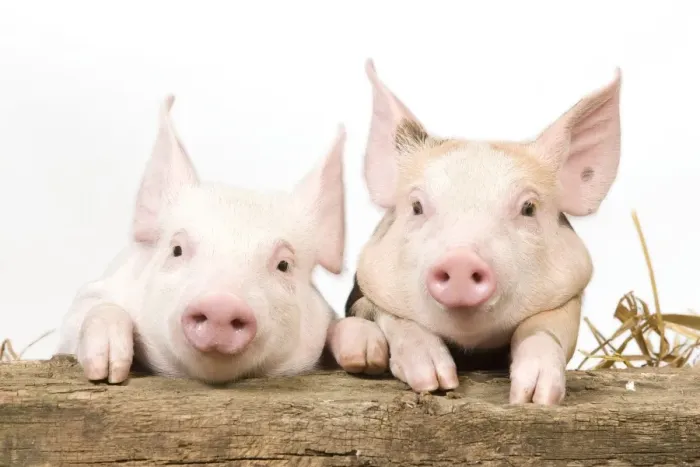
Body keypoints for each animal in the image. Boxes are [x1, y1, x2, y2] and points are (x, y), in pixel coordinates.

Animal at [55, 95, 347, 385]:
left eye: (284, 265)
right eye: (177, 249)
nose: (221, 304)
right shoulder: (98, 293)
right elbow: (91, 311)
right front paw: (107, 372)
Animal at [328, 59, 621, 405]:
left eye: (528, 208)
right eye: (416, 206)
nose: (461, 260)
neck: (471, 349)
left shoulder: (569, 290)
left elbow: (545, 330)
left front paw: (533, 397)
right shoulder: (370, 285)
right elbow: (397, 320)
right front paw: (435, 382)